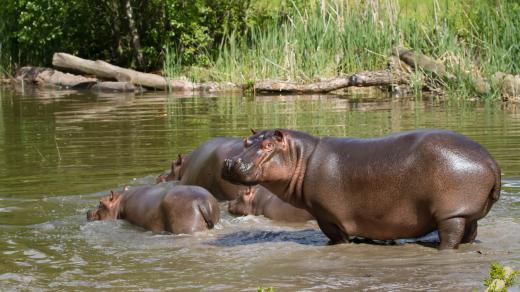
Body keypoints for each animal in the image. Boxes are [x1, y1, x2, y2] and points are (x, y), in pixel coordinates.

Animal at [222, 128, 500, 249]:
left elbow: (337, 238)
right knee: (469, 234)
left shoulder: (327, 216)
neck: (302, 157)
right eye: (246, 141)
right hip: (469, 214)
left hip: (452, 213)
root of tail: (491, 161)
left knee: (451, 237)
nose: (229, 162)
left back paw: (441, 249)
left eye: (268, 146)